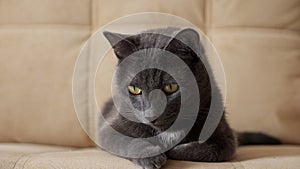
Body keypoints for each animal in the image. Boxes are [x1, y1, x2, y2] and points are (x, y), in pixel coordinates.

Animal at [98, 27, 278, 169]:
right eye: (134, 89)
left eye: (171, 87)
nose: (151, 116)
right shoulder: (109, 129)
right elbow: (130, 141)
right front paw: (152, 155)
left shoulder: (226, 138)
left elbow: (210, 150)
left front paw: (171, 150)